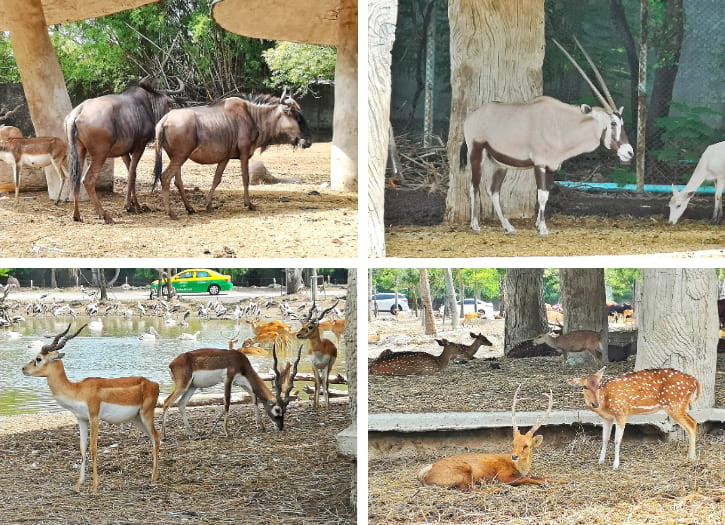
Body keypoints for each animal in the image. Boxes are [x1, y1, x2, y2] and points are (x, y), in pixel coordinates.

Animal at [21, 324, 160, 492]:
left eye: (38, 359)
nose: (23, 369)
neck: (78, 390)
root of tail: (154, 384)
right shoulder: (81, 419)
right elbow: (82, 448)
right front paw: (78, 484)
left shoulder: (94, 417)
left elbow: (93, 448)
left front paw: (94, 486)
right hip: (137, 419)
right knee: (153, 438)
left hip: (146, 415)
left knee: (156, 437)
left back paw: (153, 478)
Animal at [163, 338, 302, 436]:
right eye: (278, 410)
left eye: (285, 410)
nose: (280, 427)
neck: (241, 362)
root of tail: (172, 364)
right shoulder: (228, 379)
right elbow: (227, 403)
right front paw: (226, 432)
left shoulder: (241, 382)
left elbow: (254, 397)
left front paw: (261, 426)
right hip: (183, 385)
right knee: (166, 402)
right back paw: (164, 436)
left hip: (192, 386)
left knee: (181, 404)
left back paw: (192, 434)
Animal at [416, 382, 556, 490]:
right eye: (513, 443)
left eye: (526, 445)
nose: (514, 456)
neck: (519, 468)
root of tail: (425, 476)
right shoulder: (502, 475)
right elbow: (527, 479)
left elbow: (537, 477)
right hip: (463, 470)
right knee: (467, 489)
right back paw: (496, 490)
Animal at [460, 39, 632, 237]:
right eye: (612, 123)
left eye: (621, 122)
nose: (629, 152)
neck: (562, 124)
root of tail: (470, 118)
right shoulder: (540, 164)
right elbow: (541, 195)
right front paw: (542, 228)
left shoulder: (552, 166)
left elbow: (546, 195)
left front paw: (538, 224)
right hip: (476, 153)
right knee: (474, 186)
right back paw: (475, 225)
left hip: (500, 164)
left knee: (493, 191)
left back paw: (508, 227)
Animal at [568, 366, 700, 468]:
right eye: (584, 387)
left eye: (599, 385)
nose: (595, 404)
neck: (605, 402)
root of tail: (694, 381)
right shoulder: (607, 418)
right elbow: (604, 439)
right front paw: (600, 461)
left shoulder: (621, 413)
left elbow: (617, 440)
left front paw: (615, 465)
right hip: (680, 406)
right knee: (693, 421)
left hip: (675, 404)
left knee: (691, 424)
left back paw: (692, 457)